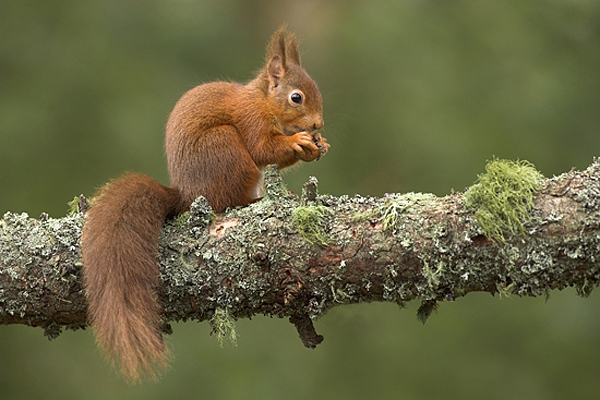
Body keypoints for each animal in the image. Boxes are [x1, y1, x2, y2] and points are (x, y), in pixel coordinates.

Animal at [79, 26, 328, 382]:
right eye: (297, 97)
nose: (318, 125)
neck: (262, 100)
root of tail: (187, 194)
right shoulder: (251, 120)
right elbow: (264, 149)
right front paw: (299, 141)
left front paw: (318, 146)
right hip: (225, 149)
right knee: (229, 200)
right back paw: (256, 199)